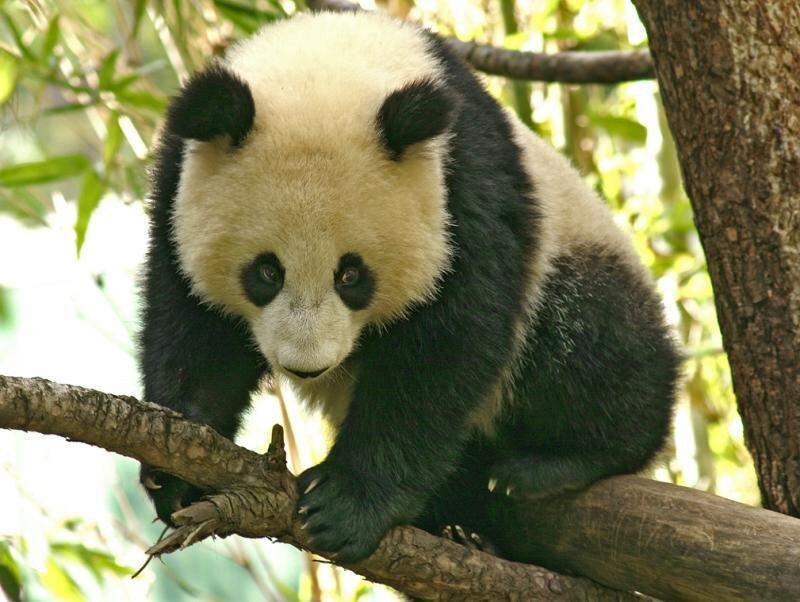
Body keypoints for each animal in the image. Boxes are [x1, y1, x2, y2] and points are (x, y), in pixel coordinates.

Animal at [139, 10, 681, 564]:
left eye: (351, 275)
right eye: (266, 272)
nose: (306, 367)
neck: (329, 60)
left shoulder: (460, 194)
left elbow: (445, 349)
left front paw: (344, 505)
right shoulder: (177, 189)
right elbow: (195, 326)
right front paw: (178, 468)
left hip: (571, 250)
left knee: (587, 345)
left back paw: (552, 465)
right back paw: (463, 528)